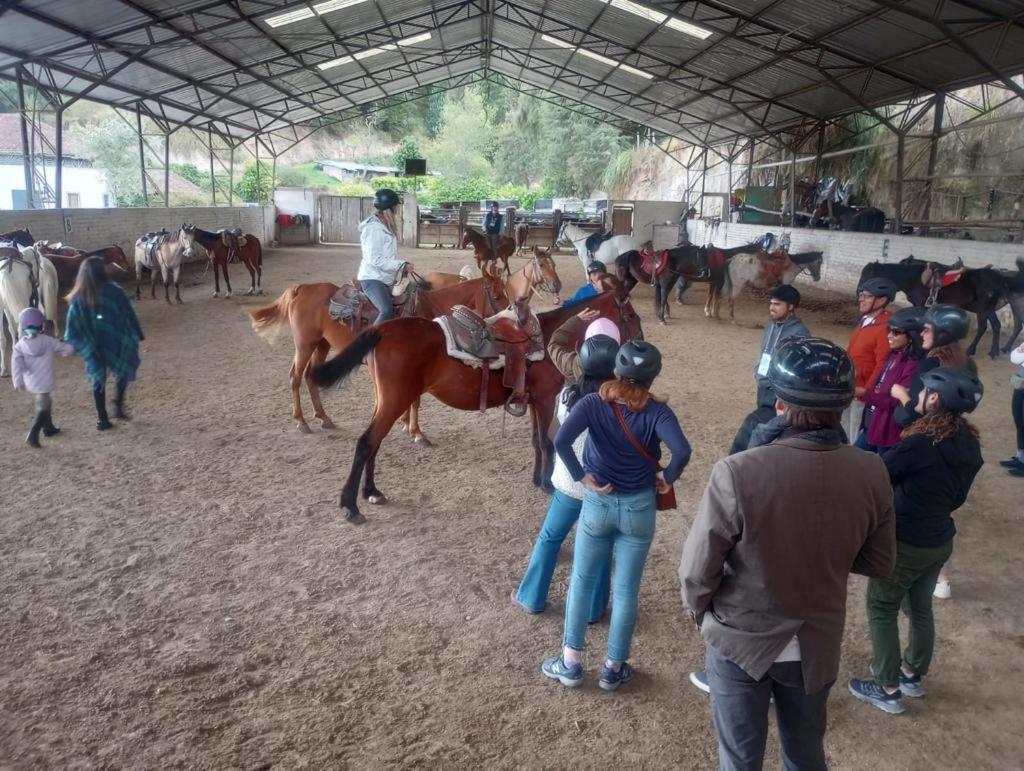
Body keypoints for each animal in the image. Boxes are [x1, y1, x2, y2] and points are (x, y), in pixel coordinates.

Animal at [244, 266, 507, 434]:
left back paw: (324, 418)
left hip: (322, 344)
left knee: (310, 376)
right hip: (305, 343)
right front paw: (416, 431)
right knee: (295, 376)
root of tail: (302, 288)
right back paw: (301, 421)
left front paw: (405, 423)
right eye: (496, 295)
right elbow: (415, 400)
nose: (510, 313)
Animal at [309, 288, 638, 524]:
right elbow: (546, 442)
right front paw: (546, 483)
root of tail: (383, 329)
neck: (545, 339)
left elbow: (535, 441)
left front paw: (536, 478)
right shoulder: (545, 400)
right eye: (631, 315)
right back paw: (351, 505)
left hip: (385, 401)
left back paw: (372, 492)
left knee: (374, 443)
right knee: (366, 442)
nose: (638, 344)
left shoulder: (534, 401)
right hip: (395, 400)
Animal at [856, 255, 1007, 358]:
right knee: (996, 325)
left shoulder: (921, 304)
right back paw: (994, 352)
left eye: (869, 274)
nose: (859, 291)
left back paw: (971, 350)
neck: (913, 278)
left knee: (983, 327)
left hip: (982, 309)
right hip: (988, 309)